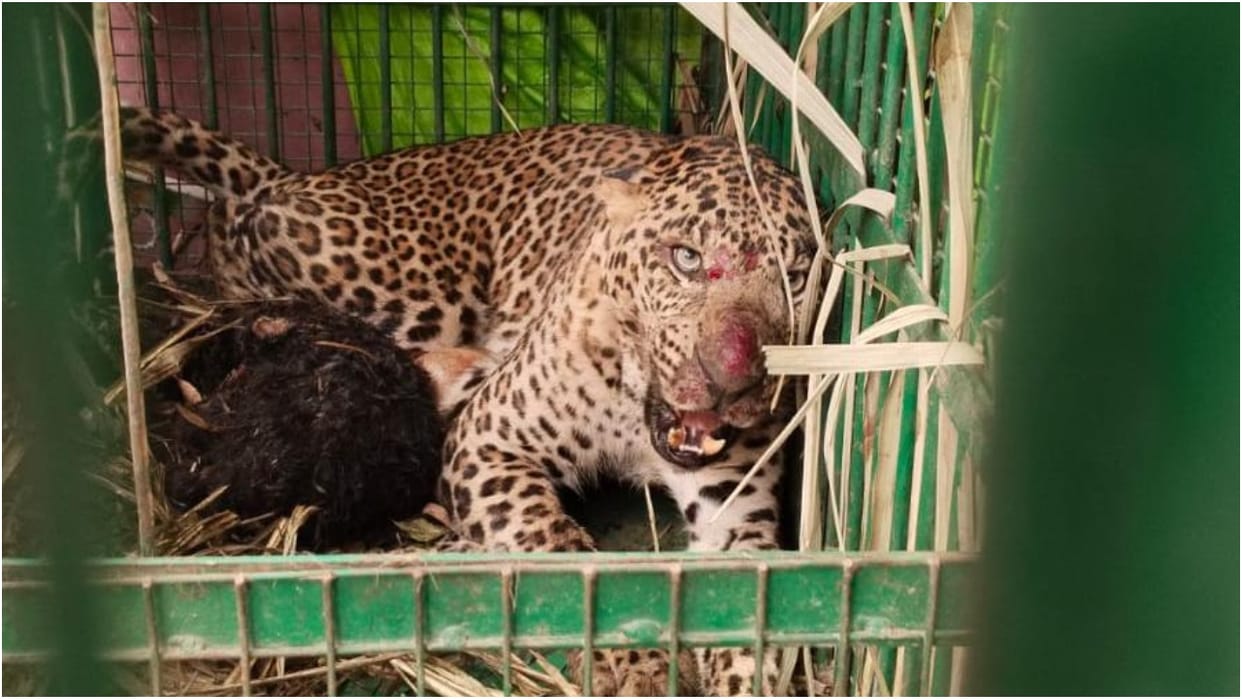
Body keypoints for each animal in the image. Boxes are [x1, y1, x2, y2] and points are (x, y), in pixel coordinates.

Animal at [117, 106, 820, 696]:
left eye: (796, 279)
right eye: (686, 258)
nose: (734, 376)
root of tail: (292, 176)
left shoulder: (736, 510)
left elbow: (753, 610)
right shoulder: (492, 438)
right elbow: (560, 551)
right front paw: (632, 663)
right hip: (401, 294)